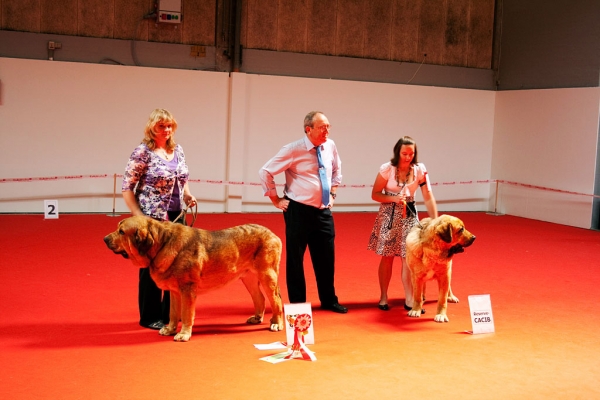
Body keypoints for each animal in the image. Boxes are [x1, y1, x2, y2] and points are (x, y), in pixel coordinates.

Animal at [103, 216, 284, 340]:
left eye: (121, 232)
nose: (104, 239)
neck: (162, 242)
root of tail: (273, 235)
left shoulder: (187, 290)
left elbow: (186, 313)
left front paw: (183, 334)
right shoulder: (175, 292)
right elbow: (173, 313)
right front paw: (169, 329)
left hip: (267, 275)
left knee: (276, 300)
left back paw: (276, 323)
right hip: (249, 278)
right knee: (260, 297)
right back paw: (257, 318)